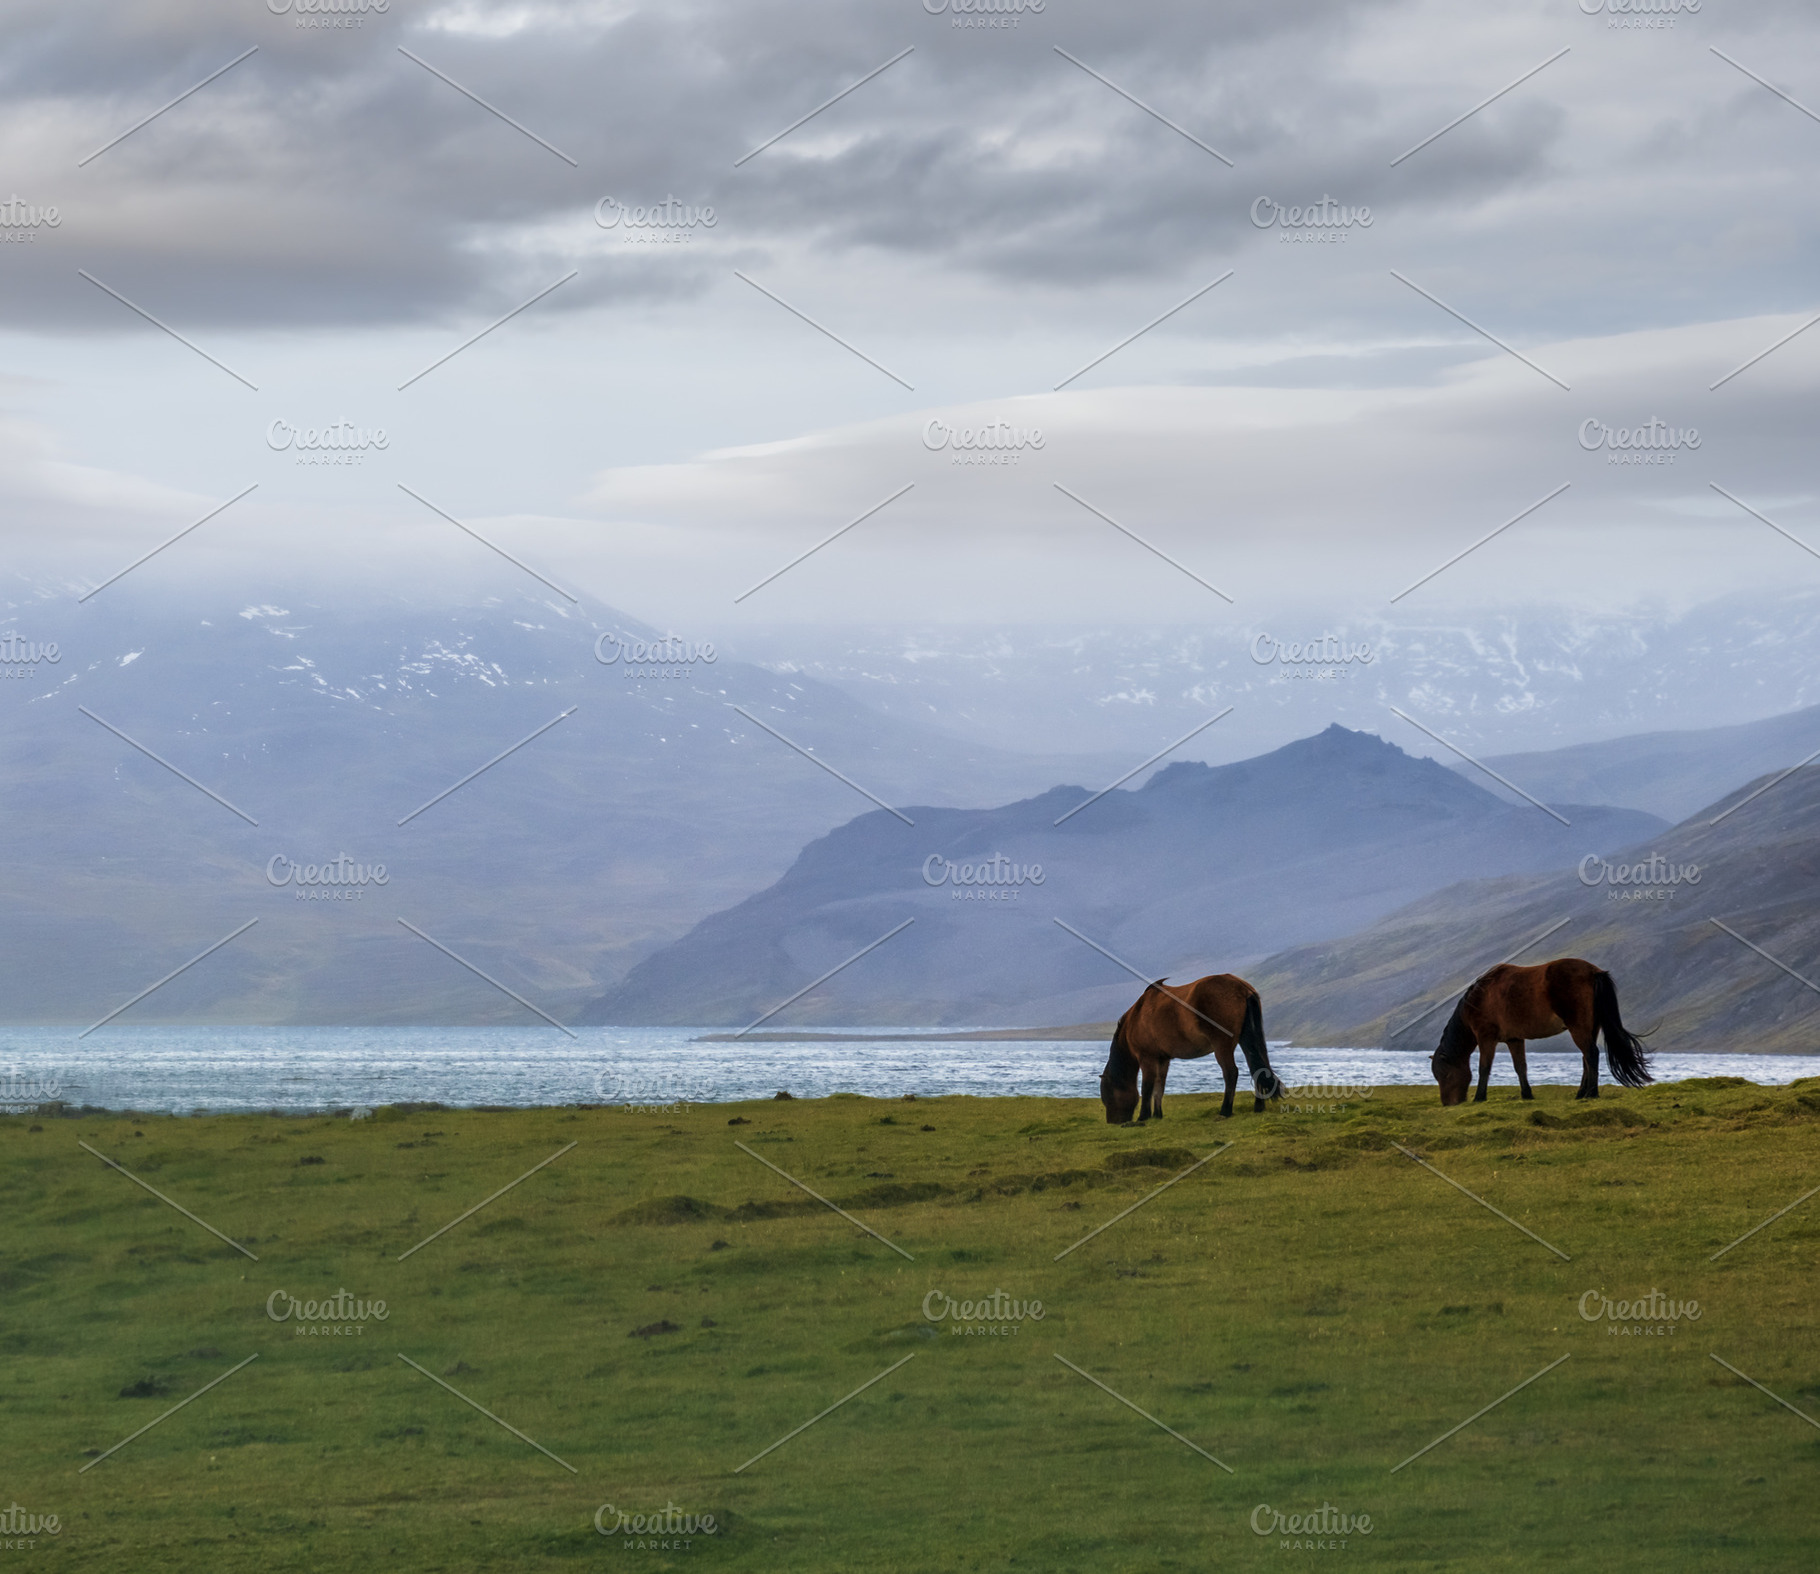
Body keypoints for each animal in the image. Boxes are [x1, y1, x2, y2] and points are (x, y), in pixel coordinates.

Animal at [1100, 974, 1283, 1124]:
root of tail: (1242, 988)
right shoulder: (1163, 1059)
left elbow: (1147, 1087)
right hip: (1247, 1040)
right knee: (1256, 1067)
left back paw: (1225, 1111)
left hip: (1222, 1046)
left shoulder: (1147, 1058)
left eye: (1108, 1095)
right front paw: (1157, 1115)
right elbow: (1159, 1086)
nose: (1113, 1122)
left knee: (1231, 1073)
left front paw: (1143, 1116)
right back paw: (1258, 1107)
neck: (1137, 1017)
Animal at [1430, 958, 1652, 1106]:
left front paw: (1479, 1097)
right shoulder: (1514, 1039)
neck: (1479, 999)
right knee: (1586, 1059)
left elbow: (1484, 1067)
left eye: (1445, 1075)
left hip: (1578, 1028)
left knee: (1591, 1055)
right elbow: (1520, 1067)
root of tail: (1594, 972)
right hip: (1591, 1028)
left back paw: (1591, 1093)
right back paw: (1581, 1093)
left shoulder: (1486, 1038)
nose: (1448, 1103)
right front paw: (1527, 1094)